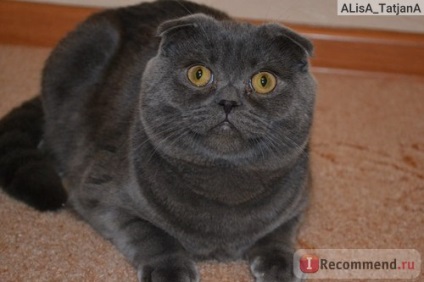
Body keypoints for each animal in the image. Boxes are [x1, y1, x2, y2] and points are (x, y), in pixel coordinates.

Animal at [0, 0, 314, 282]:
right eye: (198, 74)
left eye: (264, 81)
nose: (228, 101)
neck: (224, 190)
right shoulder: (100, 194)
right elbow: (150, 232)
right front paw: (171, 270)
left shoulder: (300, 200)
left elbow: (279, 231)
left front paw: (280, 265)